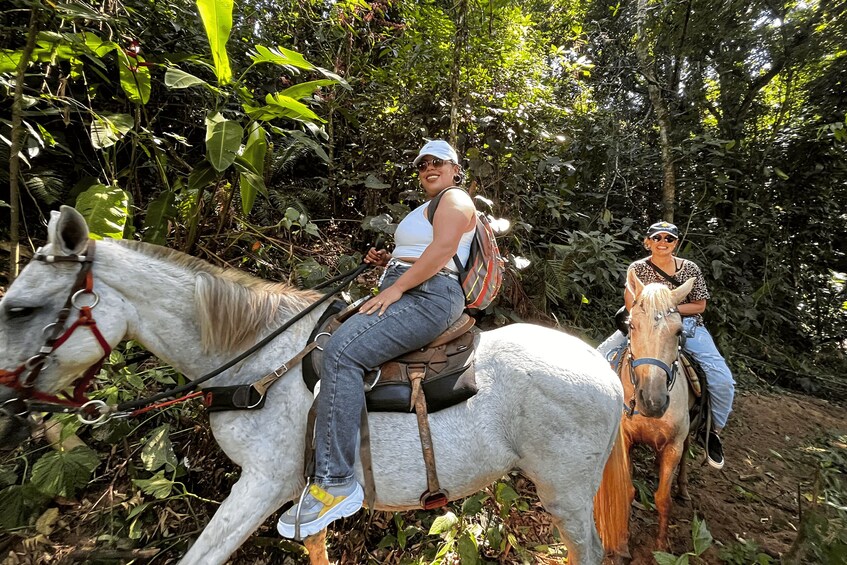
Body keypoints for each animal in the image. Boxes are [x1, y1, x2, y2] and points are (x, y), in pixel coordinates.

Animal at [0, 207, 628, 564]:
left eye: (18, 309)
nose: (6, 403)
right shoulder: (299, 497)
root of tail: (600, 365)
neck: (256, 358)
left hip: (566, 491)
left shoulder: (263, 483)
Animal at [608, 270, 700, 556]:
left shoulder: (673, 445)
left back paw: (683, 488)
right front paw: (623, 545)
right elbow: (627, 490)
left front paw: (661, 547)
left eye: (679, 331)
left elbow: (663, 499)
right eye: (632, 326)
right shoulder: (624, 440)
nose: (652, 401)